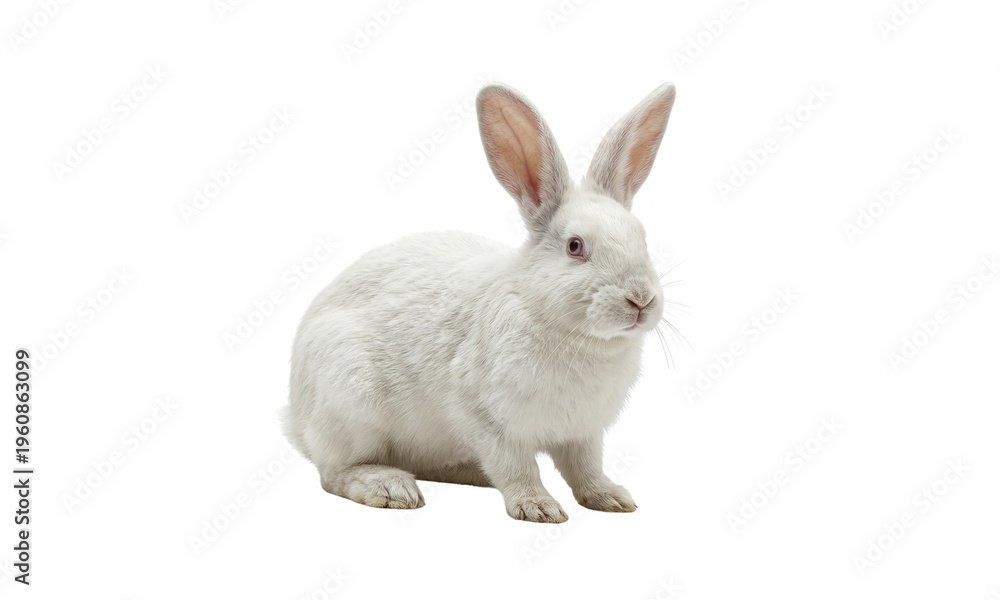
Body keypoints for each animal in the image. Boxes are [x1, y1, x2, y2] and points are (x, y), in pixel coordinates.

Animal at [282, 81, 677, 523]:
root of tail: (294, 418)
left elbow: (586, 469)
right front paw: (538, 507)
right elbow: (517, 466)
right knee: (334, 472)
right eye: (575, 247)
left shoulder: (583, 433)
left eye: (642, 239)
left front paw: (612, 498)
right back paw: (390, 487)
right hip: (350, 402)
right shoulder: (488, 420)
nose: (641, 299)